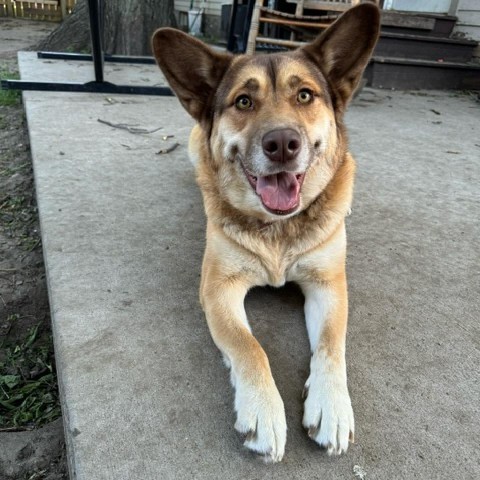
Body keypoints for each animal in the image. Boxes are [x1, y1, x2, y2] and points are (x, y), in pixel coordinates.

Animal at [152, 2, 380, 462]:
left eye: (305, 95)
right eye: (243, 101)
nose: (282, 144)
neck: (279, 227)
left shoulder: (329, 285)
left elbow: (332, 342)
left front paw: (332, 405)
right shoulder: (218, 289)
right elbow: (248, 345)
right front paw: (263, 410)